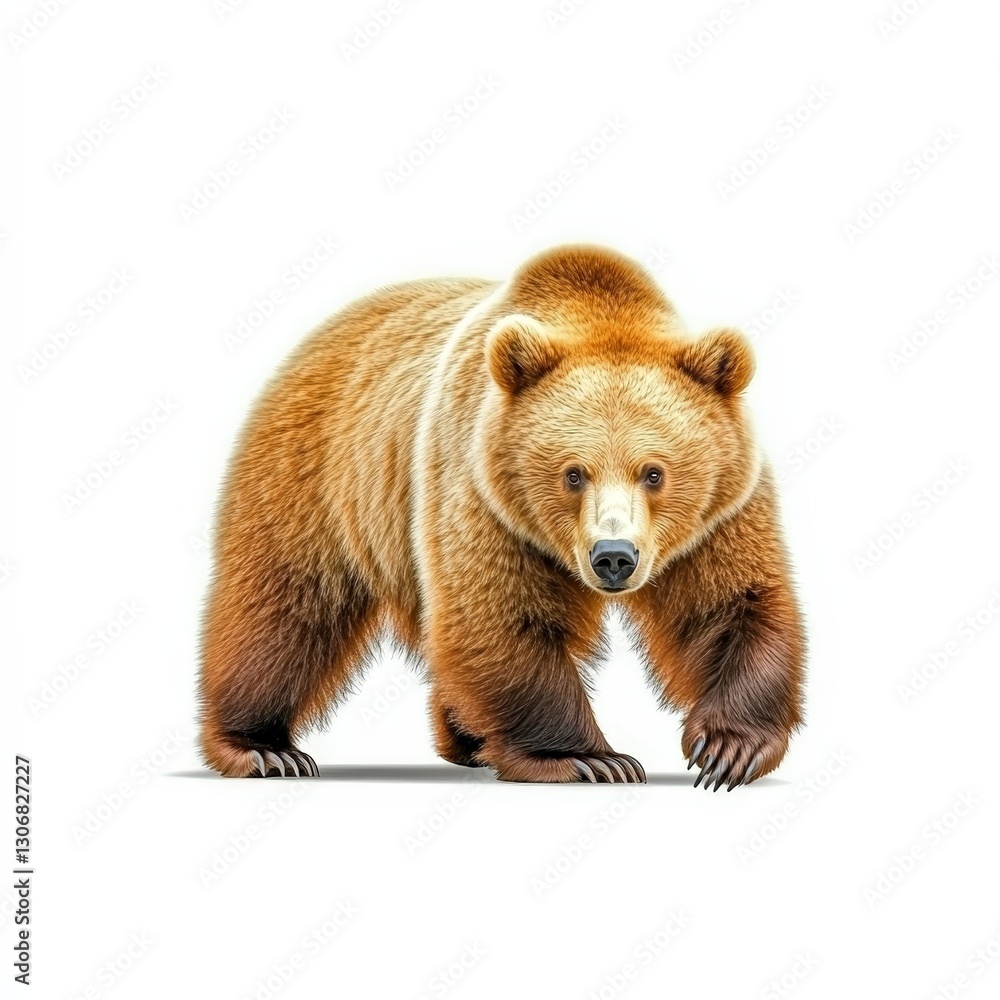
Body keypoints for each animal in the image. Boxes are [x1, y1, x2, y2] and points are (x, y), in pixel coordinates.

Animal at [198, 244, 805, 788]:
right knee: (284, 609)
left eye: (654, 472)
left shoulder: (719, 511)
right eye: (573, 473)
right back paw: (262, 748)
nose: (614, 557)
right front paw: (590, 758)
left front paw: (728, 750)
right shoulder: (486, 492)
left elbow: (730, 604)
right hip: (318, 474)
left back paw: (466, 739)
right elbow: (500, 615)